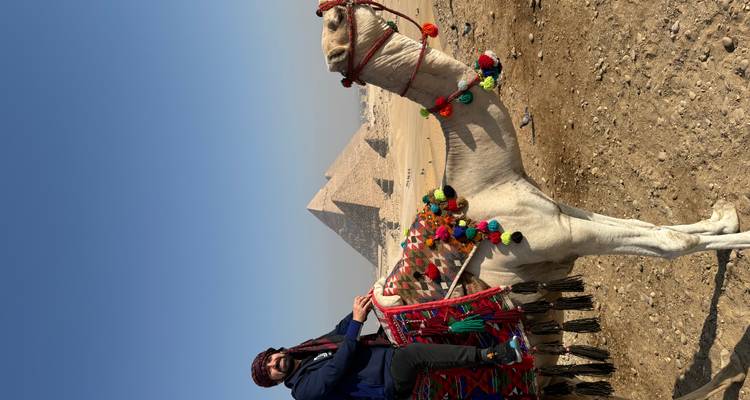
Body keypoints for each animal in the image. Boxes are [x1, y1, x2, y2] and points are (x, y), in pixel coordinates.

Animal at [316, 1, 748, 398]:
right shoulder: (563, 235)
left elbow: (645, 223)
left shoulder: (560, 215)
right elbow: (669, 242)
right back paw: (732, 372)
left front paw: (725, 217)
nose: (333, 46)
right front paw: (741, 240)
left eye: (334, 19)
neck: (481, 184)